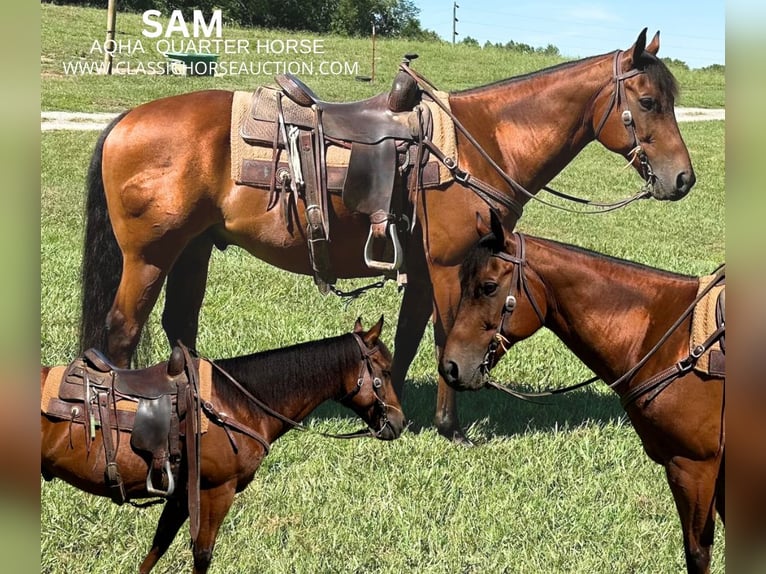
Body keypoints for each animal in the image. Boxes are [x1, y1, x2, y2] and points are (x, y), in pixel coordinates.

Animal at [41, 320, 404, 574]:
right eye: (385, 372)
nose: (399, 423)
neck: (239, 403)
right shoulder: (217, 491)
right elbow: (202, 554)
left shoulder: (182, 495)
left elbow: (158, 545)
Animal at [78, 29, 696, 444]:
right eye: (648, 102)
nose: (683, 179)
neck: (483, 143)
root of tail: (126, 120)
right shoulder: (450, 265)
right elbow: (448, 336)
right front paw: (450, 427)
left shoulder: (423, 271)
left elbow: (407, 338)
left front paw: (395, 411)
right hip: (150, 257)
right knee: (123, 330)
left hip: (194, 250)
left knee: (178, 326)